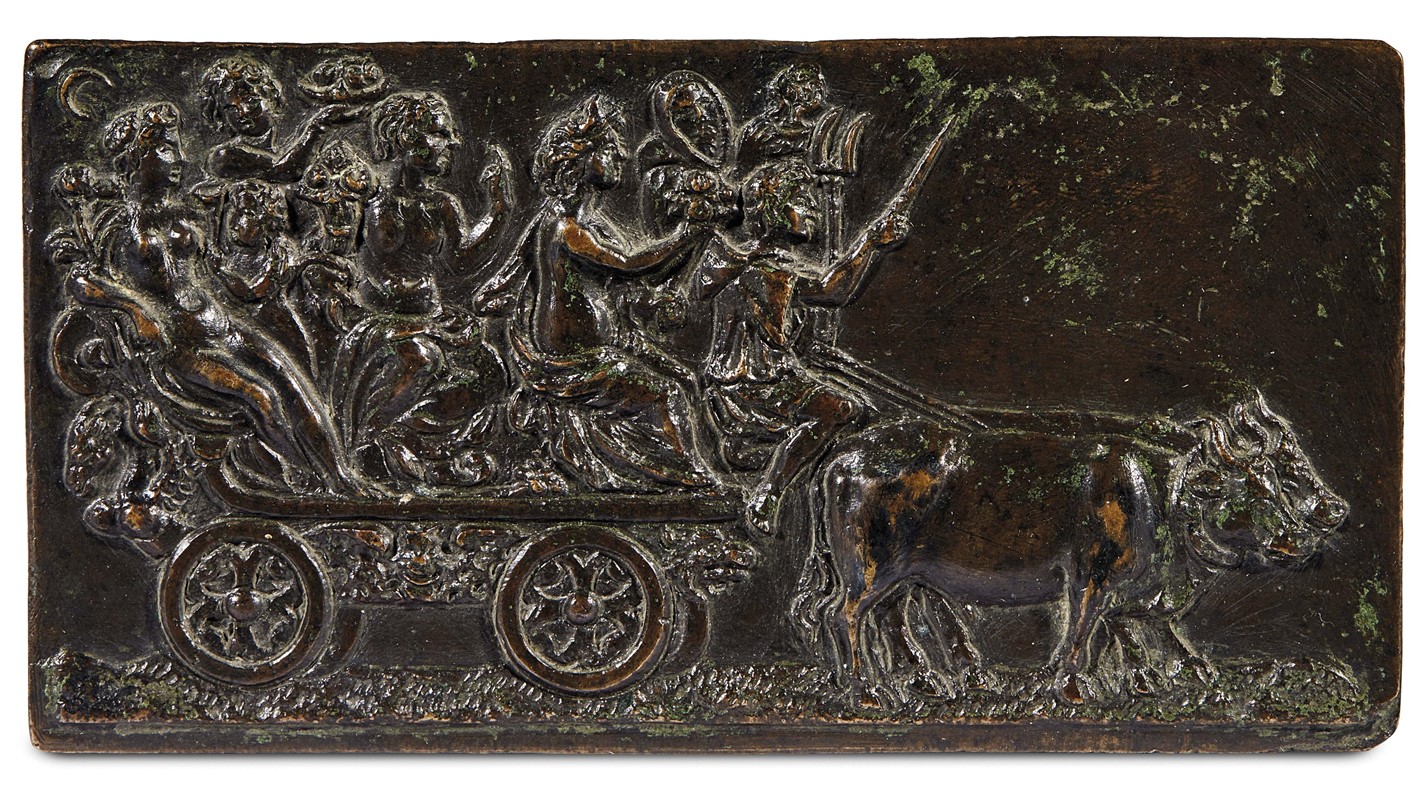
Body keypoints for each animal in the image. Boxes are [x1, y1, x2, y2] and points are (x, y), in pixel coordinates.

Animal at [799, 394, 1349, 702]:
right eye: (1251, 487)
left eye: (1278, 480)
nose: (1303, 534)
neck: (1157, 496)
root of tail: (841, 458)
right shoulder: (1091, 578)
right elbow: (1081, 637)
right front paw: (1069, 690)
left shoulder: (1136, 595)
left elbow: (1140, 637)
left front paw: (1171, 681)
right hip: (868, 571)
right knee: (841, 615)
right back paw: (866, 692)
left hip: (901, 578)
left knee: (886, 619)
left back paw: (919, 685)